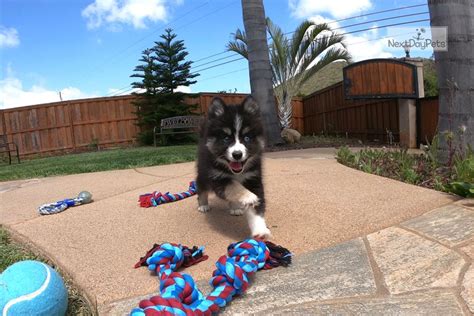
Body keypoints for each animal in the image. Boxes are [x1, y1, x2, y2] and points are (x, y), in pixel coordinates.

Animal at [195, 96, 270, 239]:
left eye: (247, 138)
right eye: (226, 138)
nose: (237, 154)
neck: (237, 173)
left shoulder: (253, 179)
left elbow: (255, 208)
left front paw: (260, 230)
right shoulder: (218, 178)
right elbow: (234, 186)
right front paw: (248, 196)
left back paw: (235, 207)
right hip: (203, 173)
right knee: (201, 188)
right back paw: (203, 205)